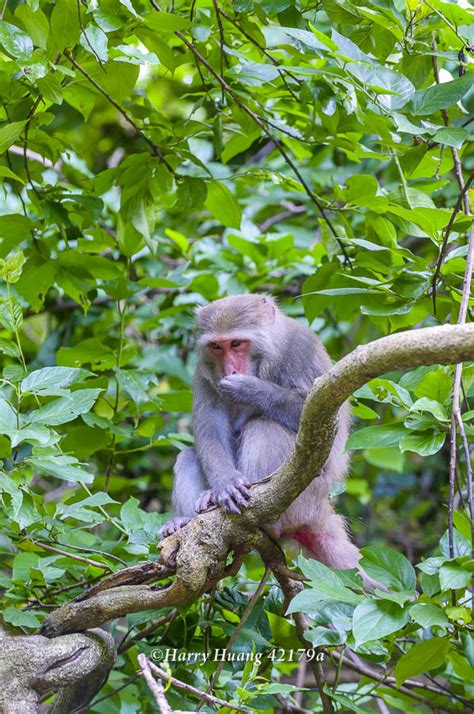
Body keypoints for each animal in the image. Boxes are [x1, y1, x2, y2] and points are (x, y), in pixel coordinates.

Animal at [159, 292, 362, 576]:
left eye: (236, 343)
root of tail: (319, 512)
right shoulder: (204, 373)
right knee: (188, 455)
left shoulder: (302, 350)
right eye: (216, 347)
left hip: (306, 499)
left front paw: (250, 389)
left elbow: (321, 414)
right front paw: (225, 485)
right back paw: (186, 520)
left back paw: (265, 521)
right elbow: (210, 433)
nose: (230, 370)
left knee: (264, 428)